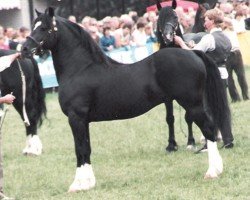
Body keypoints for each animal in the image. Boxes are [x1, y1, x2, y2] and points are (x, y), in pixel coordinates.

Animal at [22, 7, 229, 192]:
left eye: (45, 28)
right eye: (34, 26)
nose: (24, 49)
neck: (81, 69)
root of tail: (193, 52)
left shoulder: (76, 118)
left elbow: (79, 149)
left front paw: (78, 185)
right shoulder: (84, 121)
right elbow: (87, 148)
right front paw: (89, 183)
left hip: (192, 105)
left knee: (209, 130)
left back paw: (213, 171)